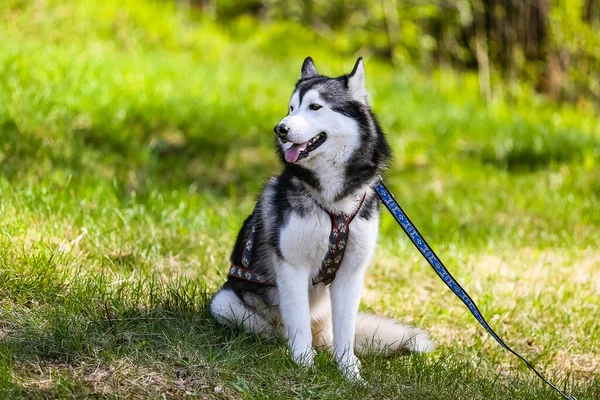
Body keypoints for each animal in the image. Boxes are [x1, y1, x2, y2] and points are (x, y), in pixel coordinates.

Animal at [210, 57, 432, 382]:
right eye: (291, 108)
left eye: (315, 107)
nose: (280, 129)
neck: (333, 203)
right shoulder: (292, 267)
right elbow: (299, 322)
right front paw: (303, 366)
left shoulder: (351, 274)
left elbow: (346, 332)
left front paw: (349, 373)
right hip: (224, 304)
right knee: (278, 329)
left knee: (330, 335)